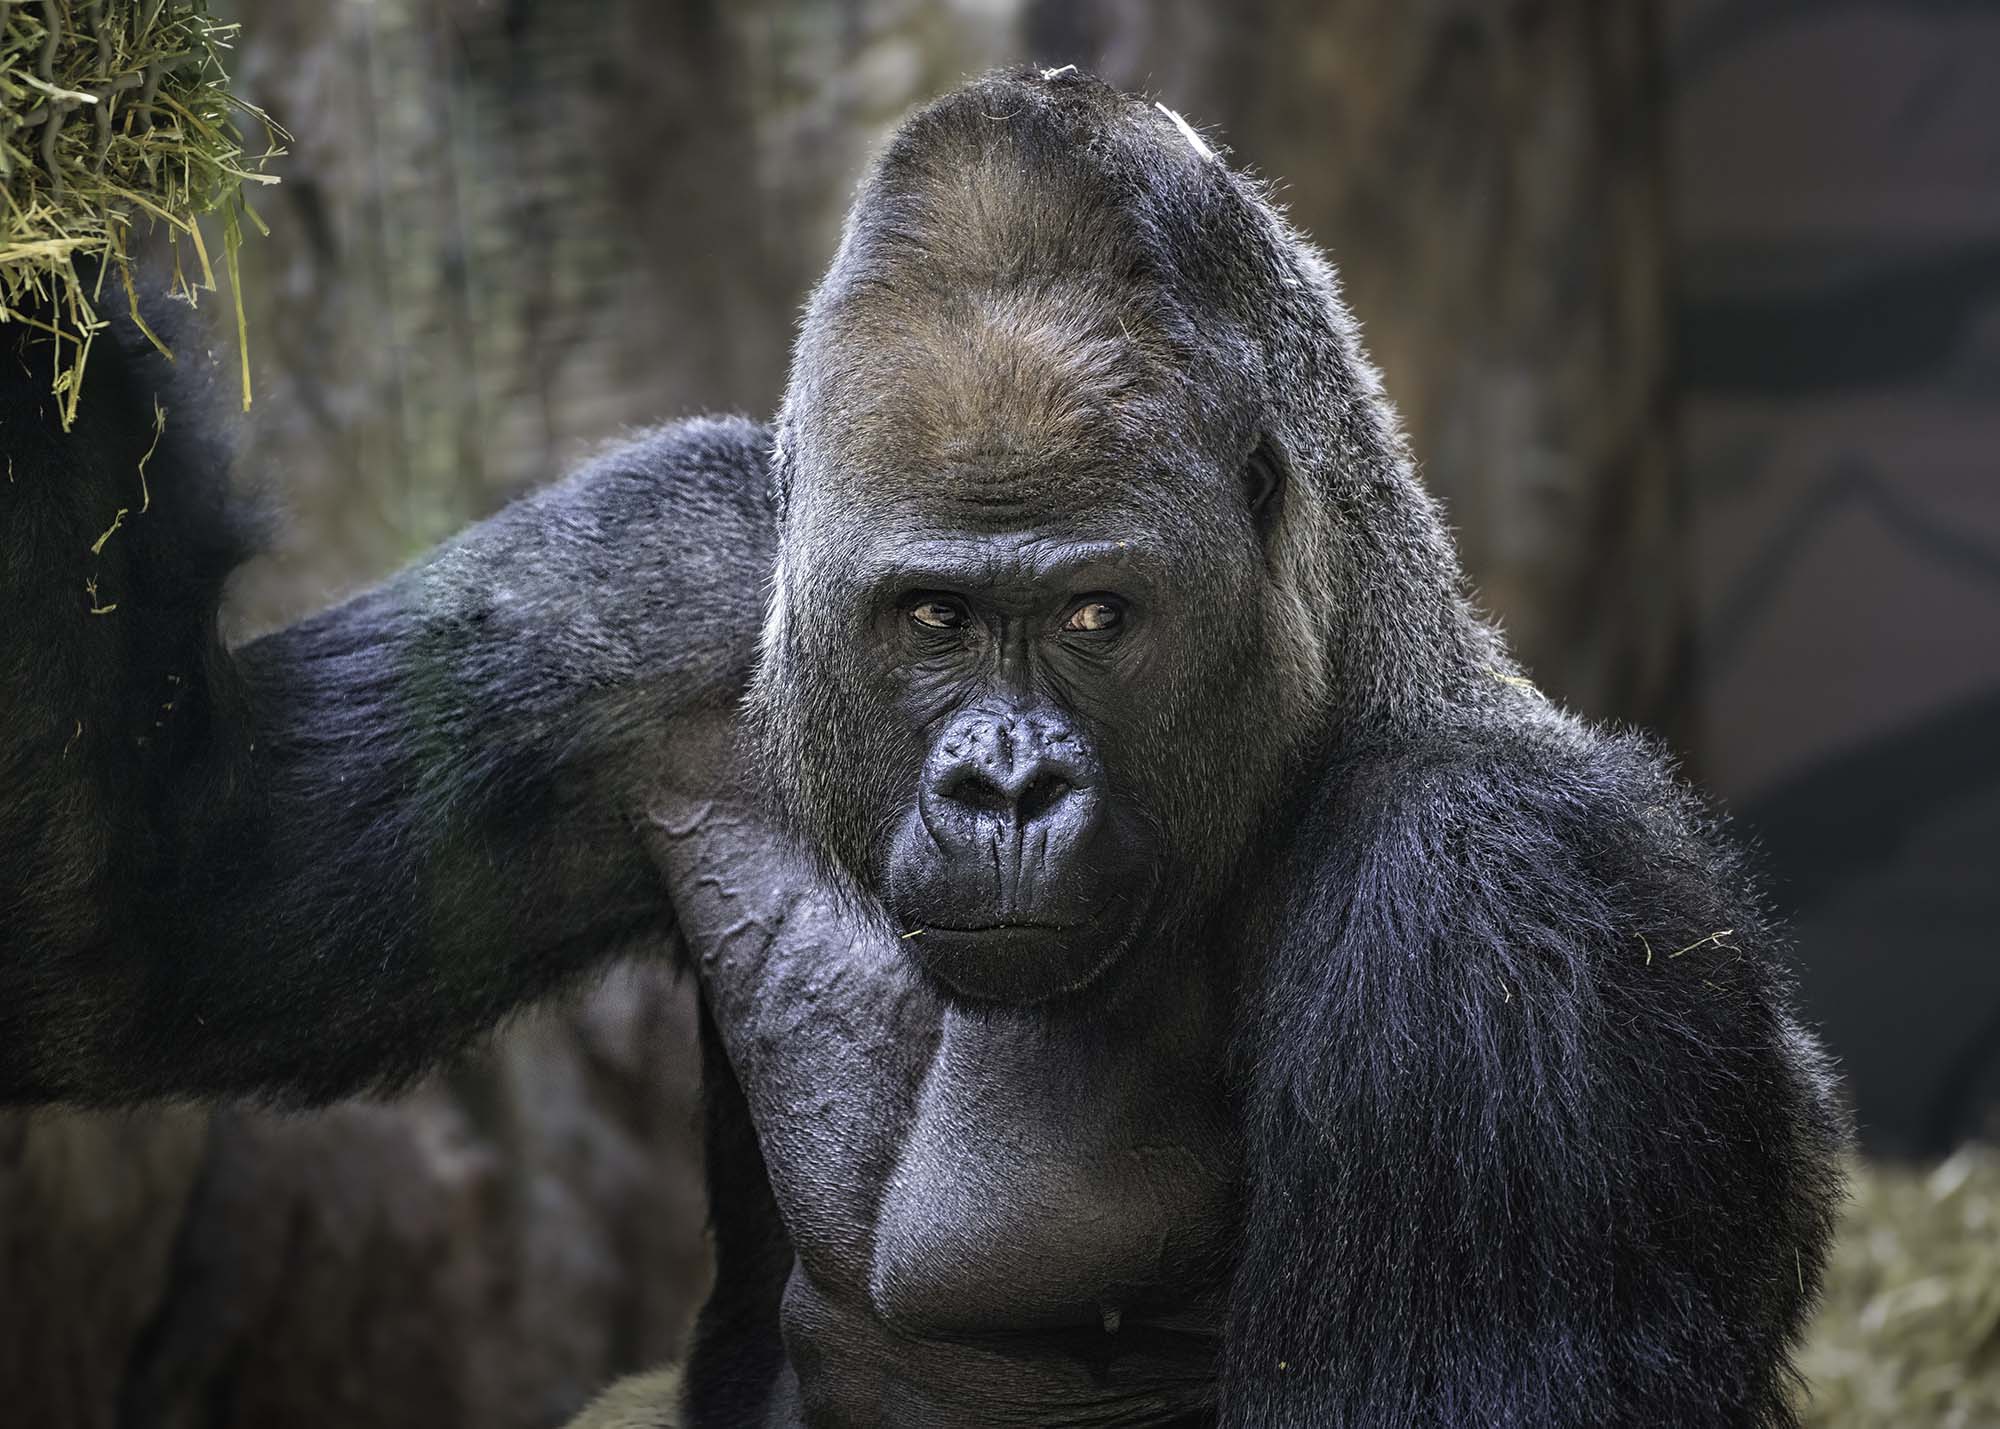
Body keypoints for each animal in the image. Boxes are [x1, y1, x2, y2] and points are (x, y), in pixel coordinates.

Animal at [0, 69, 1840, 1424]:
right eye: (934, 618)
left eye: (1098, 614)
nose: (1001, 780)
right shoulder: (671, 566)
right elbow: (147, 907)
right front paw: (47, 222)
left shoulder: (1503, 904)